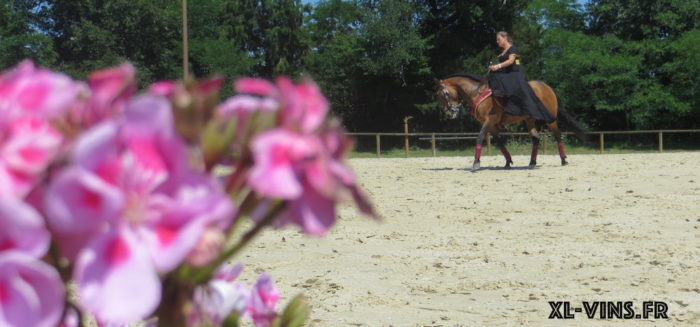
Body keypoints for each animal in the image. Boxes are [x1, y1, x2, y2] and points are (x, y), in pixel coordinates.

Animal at [434, 73, 588, 170]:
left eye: (444, 94)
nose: (449, 112)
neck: (477, 93)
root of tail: (547, 87)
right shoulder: (491, 125)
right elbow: (499, 142)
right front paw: (508, 161)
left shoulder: (489, 121)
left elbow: (479, 138)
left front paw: (476, 162)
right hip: (530, 120)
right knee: (536, 138)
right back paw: (532, 163)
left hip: (551, 120)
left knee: (557, 135)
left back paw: (563, 160)